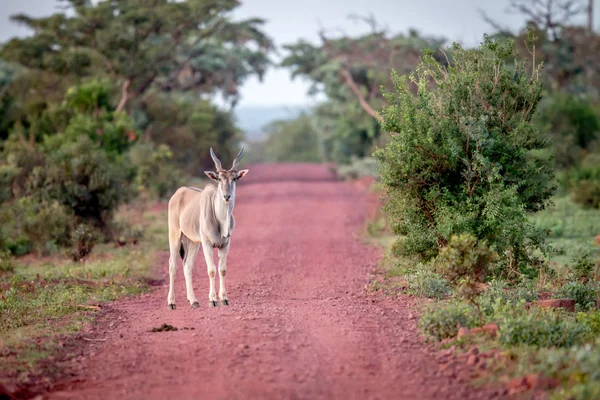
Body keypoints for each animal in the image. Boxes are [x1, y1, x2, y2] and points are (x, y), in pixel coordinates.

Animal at [166, 147, 248, 310]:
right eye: (219, 179)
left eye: (234, 178)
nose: (227, 196)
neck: (220, 219)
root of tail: (177, 193)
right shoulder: (207, 244)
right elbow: (211, 270)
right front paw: (213, 300)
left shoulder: (225, 244)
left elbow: (222, 270)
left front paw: (224, 298)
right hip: (175, 235)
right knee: (173, 265)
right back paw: (171, 302)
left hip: (193, 242)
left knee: (187, 266)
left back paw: (193, 301)